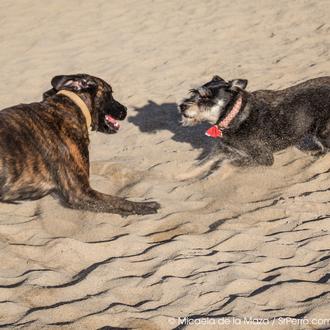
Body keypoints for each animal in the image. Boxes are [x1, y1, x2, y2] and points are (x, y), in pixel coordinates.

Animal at [0, 73, 160, 215]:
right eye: (110, 93)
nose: (125, 110)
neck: (69, 107)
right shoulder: (80, 193)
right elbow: (118, 201)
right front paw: (145, 206)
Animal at [179, 75, 330, 166]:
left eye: (206, 97)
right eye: (193, 93)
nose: (182, 106)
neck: (233, 115)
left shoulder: (262, 157)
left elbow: (227, 163)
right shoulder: (224, 149)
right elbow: (203, 162)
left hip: (322, 132)